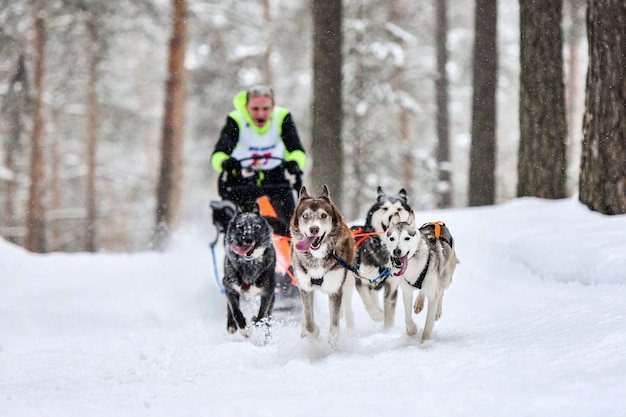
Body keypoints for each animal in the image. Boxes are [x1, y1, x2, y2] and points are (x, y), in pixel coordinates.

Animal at [290, 185, 354, 348]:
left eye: (323, 215)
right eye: (305, 216)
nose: (314, 229)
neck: (317, 257)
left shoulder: (335, 291)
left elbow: (334, 327)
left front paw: (333, 347)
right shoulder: (305, 288)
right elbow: (308, 323)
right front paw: (313, 335)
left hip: (348, 284)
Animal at [354, 187, 412, 326]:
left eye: (399, 209)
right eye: (385, 208)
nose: (392, 215)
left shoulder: (391, 287)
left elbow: (389, 317)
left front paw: (388, 330)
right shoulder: (361, 281)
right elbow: (368, 303)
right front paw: (378, 315)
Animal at [382, 211, 456, 342]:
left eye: (407, 238)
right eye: (392, 238)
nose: (396, 251)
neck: (413, 266)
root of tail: (437, 223)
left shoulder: (432, 296)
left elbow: (428, 325)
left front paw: (424, 343)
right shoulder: (406, 291)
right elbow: (407, 317)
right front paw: (412, 330)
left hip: (445, 278)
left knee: (441, 291)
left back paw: (437, 311)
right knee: (423, 291)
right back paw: (419, 303)